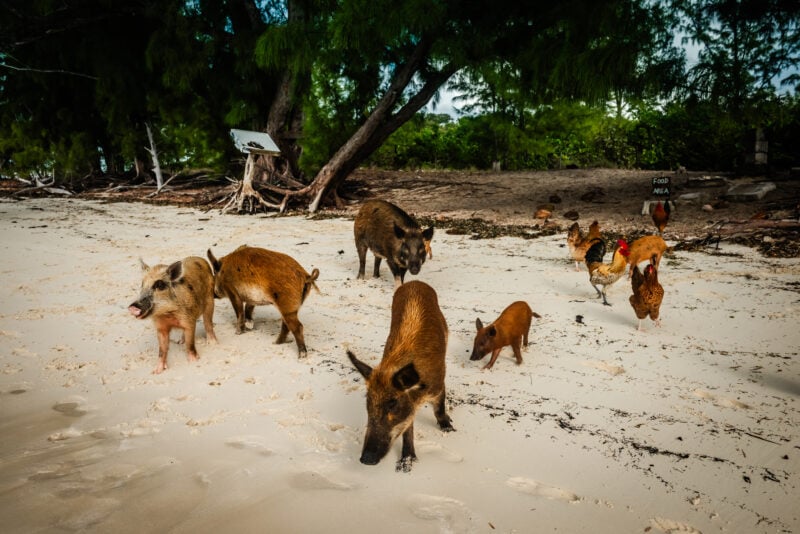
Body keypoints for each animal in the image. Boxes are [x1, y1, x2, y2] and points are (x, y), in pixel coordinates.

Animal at [347, 280, 454, 472]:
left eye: (393, 403)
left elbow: (439, 409)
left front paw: (449, 429)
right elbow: (407, 427)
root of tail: (414, 282)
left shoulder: (439, 384)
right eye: (367, 401)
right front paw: (405, 465)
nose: (366, 459)